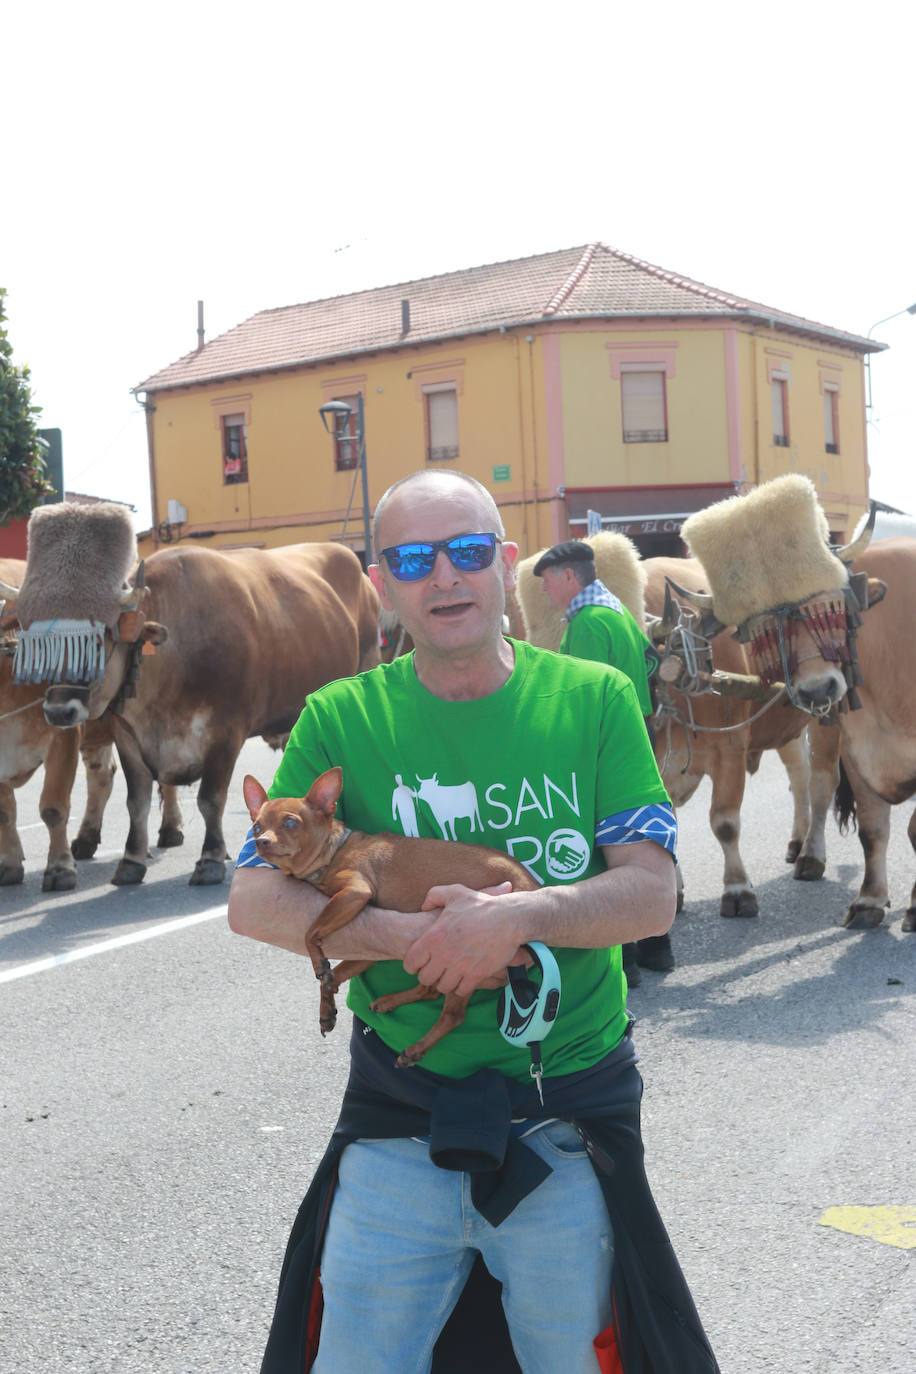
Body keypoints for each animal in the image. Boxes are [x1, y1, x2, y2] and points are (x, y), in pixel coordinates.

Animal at [0, 500, 379, 884]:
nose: (59, 711)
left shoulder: (226, 733)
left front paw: (210, 859)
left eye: (98, 637)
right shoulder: (128, 734)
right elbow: (137, 800)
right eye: (33, 641)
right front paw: (131, 860)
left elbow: (211, 799)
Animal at [243, 769, 541, 1066]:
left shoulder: (355, 892)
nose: (260, 841)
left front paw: (318, 964)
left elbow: (311, 933)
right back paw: (389, 1002)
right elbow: (333, 976)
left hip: (469, 966)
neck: (335, 852)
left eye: (290, 823)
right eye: (256, 827)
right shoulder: (370, 950)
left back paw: (416, 1049)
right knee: (429, 990)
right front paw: (326, 1010)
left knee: (453, 1015)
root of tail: (535, 887)